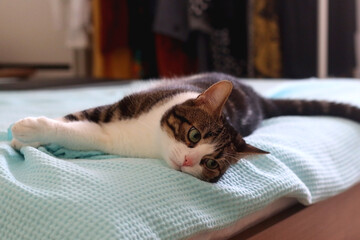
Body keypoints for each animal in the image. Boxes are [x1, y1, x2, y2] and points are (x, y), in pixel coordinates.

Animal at [10, 72, 360, 182]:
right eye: (193, 134)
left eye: (212, 163)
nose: (190, 160)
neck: (149, 138)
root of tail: (260, 99)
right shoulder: (121, 108)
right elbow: (74, 119)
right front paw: (27, 134)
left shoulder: (111, 139)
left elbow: (83, 133)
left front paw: (28, 135)